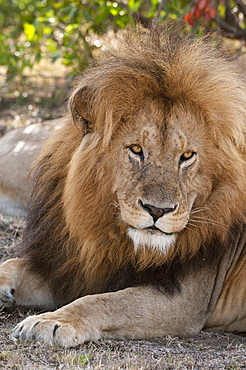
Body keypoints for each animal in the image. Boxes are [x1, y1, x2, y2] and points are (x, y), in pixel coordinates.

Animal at [0, 27, 246, 348]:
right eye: (136, 149)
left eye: (186, 156)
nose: (157, 210)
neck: (116, 237)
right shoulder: (78, 268)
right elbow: (13, 263)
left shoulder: (187, 301)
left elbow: (101, 302)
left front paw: (52, 321)